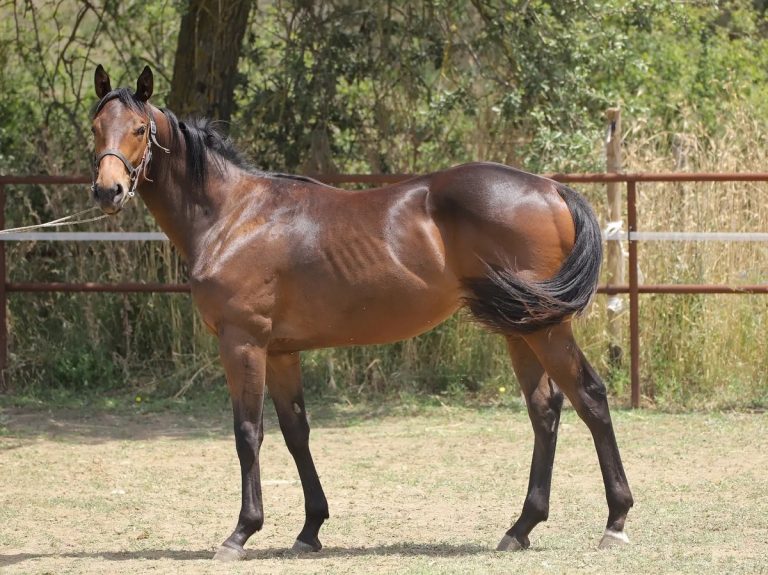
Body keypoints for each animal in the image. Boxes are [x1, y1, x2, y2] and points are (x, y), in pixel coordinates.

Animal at [90, 65, 633, 561]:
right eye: (95, 126)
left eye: (139, 129)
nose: (107, 191)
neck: (234, 217)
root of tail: (551, 188)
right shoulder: (281, 352)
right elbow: (296, 433)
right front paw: (310, 529)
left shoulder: (242, 342)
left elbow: (248, 433)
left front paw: (241, 532)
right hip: (519, 329)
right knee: (545, 411)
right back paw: (521, 527)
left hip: (545, 329)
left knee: (589, 397)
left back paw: (615, 521)